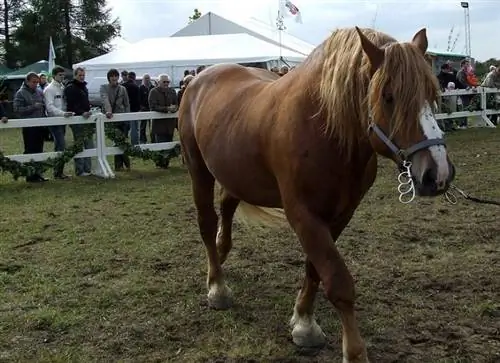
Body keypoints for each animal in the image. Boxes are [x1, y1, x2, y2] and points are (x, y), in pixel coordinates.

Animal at [178, 26, 456, 363]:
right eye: (388, 96)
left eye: (432, 94)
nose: (437, 174)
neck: (325, 129)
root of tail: (198, 79)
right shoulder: (303, 215)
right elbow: (337, 280)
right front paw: (351, 350)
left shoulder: (341, 214)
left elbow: (315, 269)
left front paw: (303, 321)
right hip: (199, 170)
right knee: (207, 223)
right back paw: (217, 287)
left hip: (236, 174)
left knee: (227, 208)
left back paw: (220, 256)